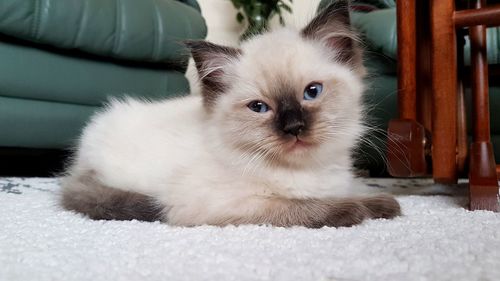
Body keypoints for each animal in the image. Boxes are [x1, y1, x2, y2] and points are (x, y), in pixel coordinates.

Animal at [60, 0, 400, 226]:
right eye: (259, 108)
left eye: (312, 92)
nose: (293, 127)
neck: (310, 169)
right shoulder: (223, 204)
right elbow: (302, 206)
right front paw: (355, 211)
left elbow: (357, 188)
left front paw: (384, 204)